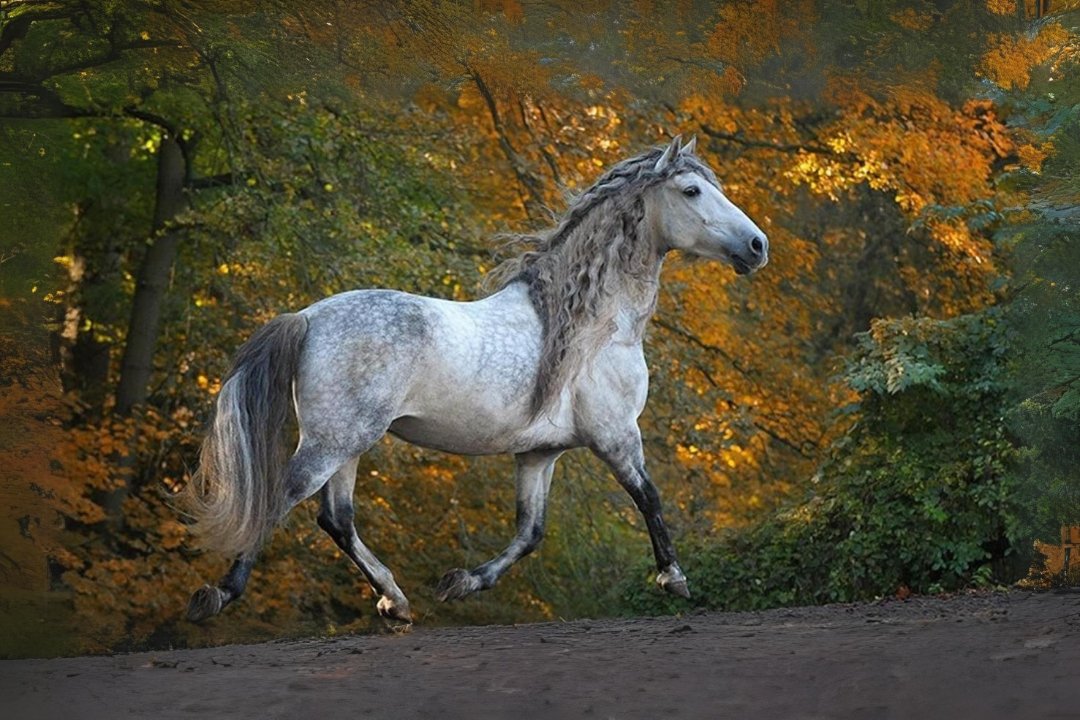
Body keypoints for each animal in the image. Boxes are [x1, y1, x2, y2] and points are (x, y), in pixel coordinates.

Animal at [190, 134, 773, 626]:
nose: (757, 246)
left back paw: (396, 602)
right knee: (284, 497)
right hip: (335, 440)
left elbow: (530, 532)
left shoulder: (540, 453)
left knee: (337, 519)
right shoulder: (615, 435)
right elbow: (648, 497)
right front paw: (674, 578)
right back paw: (218, 595)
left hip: (349, 443)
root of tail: (308, 316)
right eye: (691, 190)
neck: (591, 324)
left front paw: (462, 582)